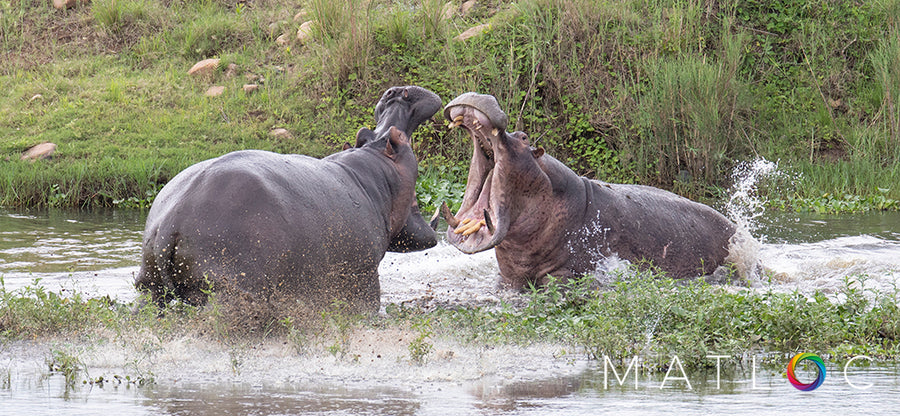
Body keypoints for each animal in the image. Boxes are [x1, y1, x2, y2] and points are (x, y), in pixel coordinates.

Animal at [135, 85, 442, 312]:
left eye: (363, 133)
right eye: (398, 137)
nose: (395, 93)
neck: (374, 170)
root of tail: (171, 221)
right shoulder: (361, 277)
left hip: (149, 284)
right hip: (227, 288)